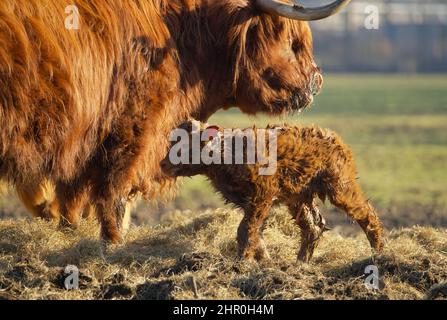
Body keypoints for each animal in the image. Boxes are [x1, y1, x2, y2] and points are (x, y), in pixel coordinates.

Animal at [1, 0, 354, 242]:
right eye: (294, 44)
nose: (317, 80)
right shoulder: (133, 130)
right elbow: (113, 200)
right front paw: (111, 246)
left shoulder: (82, 152)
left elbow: (73, 207)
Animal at [161, 121, 384, 262]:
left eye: (183, 147)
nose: (162, 164)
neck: (227, 154)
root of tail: (335, 139)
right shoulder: (248, 201)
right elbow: (254, 231)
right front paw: (265, 263)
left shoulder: (262, 195)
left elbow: (246, 229)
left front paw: (242, 263)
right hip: (299, 197)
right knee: (313, 226)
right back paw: (300, 264)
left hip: (340, 187)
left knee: (367, 215)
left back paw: (379, 254)